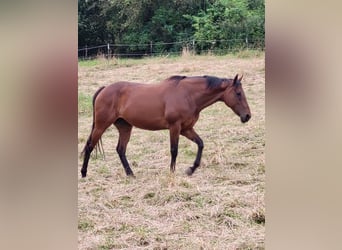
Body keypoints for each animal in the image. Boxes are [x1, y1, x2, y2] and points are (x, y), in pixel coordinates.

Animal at [80, 74, 251, 178]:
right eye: (238, 93)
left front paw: (191, 169)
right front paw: (172, 172)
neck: (188, 95)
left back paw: (131, 174)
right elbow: (174, 150)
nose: (247, 116)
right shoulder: (174, 127)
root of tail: (104, 89)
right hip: (101, 125)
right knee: (90, 146)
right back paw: (83, 173)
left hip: (125, 127)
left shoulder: (186, 129)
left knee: (120, 150)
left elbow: (201, 144)